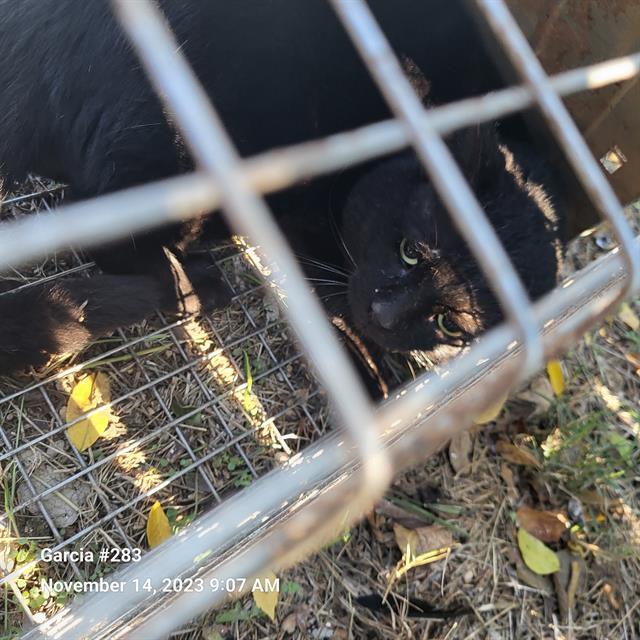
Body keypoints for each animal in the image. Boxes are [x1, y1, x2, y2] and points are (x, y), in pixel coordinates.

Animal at [0, 0, 564, 376]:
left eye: (452, 326)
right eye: (410, 250)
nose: (385, 315)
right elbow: (333, 287)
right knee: (96, 229)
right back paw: (194, 284)